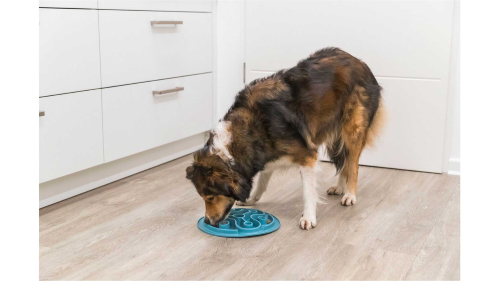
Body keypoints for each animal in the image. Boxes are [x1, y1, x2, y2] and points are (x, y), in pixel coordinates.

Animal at [186, 47, 384, 229]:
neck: (249, 130)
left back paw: (349, 194)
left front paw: (308, 217)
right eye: (202, 197)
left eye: (211, 196)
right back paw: (340, 188)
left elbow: (308, 192)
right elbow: (262, 180)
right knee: (344, 161)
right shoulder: (266, 152)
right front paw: (252, 199)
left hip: (352, 129)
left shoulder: (307, 156)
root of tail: (359, 62)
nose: (207, 221)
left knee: (353, 163)